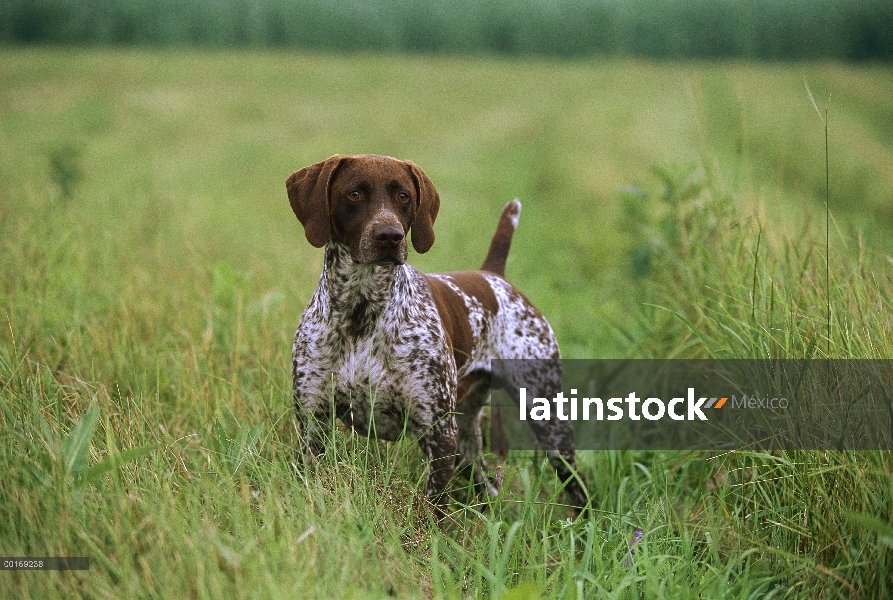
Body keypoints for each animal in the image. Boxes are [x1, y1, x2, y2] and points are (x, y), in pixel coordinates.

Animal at [288, 152, 584, 512]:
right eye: (354, 194)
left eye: (403, 196)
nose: (389, 235)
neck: (361, 310)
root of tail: (493, 275)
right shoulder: (313, 422)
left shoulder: (438, 431)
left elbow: (432, 510)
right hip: (468, 435)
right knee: (486, 482)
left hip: (547, 418)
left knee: (575, 482)